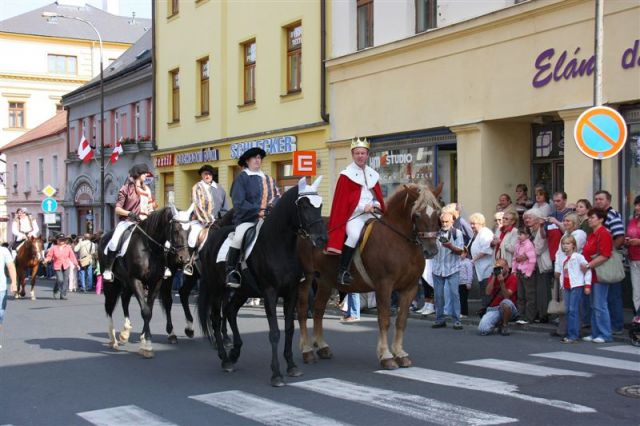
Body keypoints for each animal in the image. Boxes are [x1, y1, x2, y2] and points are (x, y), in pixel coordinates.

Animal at [98, 206, 190, 356]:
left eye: (189, 231)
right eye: (176, 230)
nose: (185, 259)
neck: (149, 248)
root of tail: (103, 237)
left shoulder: (156, 282)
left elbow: (150, 310)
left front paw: (145, 339)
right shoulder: (136, 280)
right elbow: (145, 311)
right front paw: (146, 346)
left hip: (126, 282)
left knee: (124, 300)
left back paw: (125, 332)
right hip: (111, 283)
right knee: (109, 307)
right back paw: (113, 339)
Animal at [199, 176, 330, 386]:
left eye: (321, 205)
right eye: (303, 205)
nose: (322, 239)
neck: (279, 245)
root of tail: (209, 241)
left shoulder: (291, 292)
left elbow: (289, 328)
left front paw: (292, 366)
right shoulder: (270, 293)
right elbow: (275, 332)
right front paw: (276, 374)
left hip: (242, 291)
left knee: (230, 312)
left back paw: (234, 352)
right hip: (217, 289)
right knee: (216, 319)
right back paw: (225, 359)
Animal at [296, 183, 440, 370]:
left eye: (438, 213)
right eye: (416, 214)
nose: (431, 251)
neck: (400, 241)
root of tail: (305, 233)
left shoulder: (410, 288)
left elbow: (401, 321)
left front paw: (400, 354)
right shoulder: (384, 285)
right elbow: (384, 320)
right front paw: (386, 356)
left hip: (325, 281)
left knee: (319, 310)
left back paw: (322, 346)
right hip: (306, 280)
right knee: (303, 311)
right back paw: (306, 350)